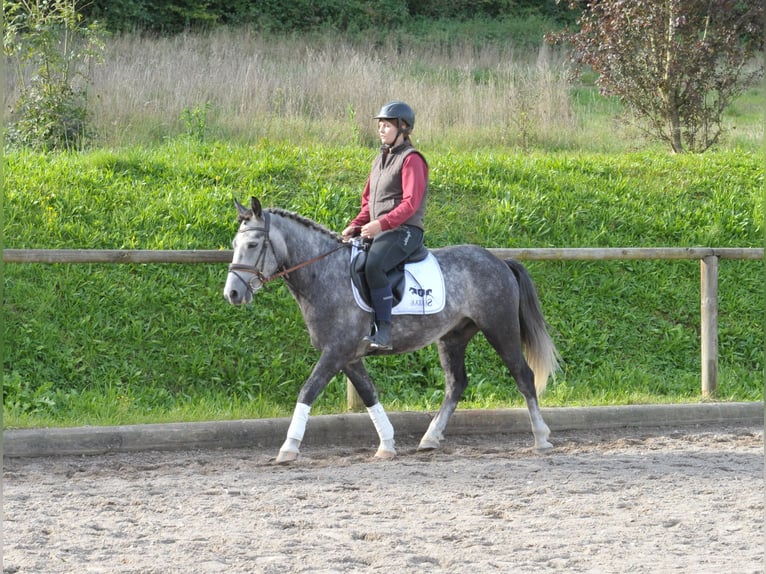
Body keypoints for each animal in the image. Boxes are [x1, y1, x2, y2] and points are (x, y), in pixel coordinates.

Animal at [225, 197, 560, 464]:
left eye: (252, 245)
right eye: (234, 246)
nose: (232, 294)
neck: (324, 274)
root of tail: (499, 261)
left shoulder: (336, 352)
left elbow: (308, 390)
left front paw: (289, 447)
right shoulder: (349, 357)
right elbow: (369, 394)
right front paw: (386, 444)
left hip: (500, 328)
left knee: (523, 375)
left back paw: (541, 438)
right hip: (452, 337)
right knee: (456, 384)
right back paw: (430, 438)